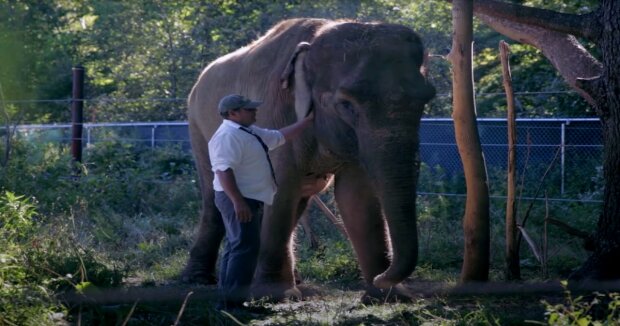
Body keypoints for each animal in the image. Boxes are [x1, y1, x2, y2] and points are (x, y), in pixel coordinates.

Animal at [183, 17, 436, 302]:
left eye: (425, 100)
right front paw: (276, 295)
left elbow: (355, 196)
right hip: (198, 125)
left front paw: (389, 296)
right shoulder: (276, 110)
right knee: (214, 196)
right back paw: (198, 278)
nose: (384, 277)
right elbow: (281, 188)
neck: (314, 41)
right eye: (346, 105)